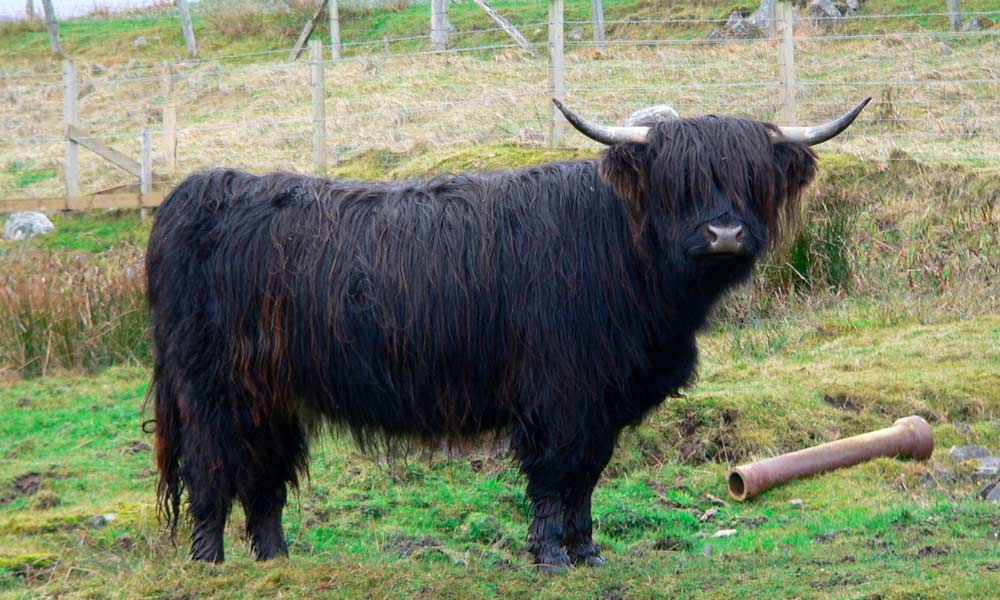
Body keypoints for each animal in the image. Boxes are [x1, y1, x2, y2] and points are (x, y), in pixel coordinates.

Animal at [146, 98, 869, 568]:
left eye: (753, 178)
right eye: (678, 182)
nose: (724, 233)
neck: (623, 252)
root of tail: (198, 192)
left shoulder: (600, 403)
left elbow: (587, 478)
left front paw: (587, 552)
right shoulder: (560, 397)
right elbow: (555, 477)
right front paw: (550, 556)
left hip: (268, 395)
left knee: (263, 476)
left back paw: (277, 561)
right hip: (210, 391)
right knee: (210, 472)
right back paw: (209, 563)